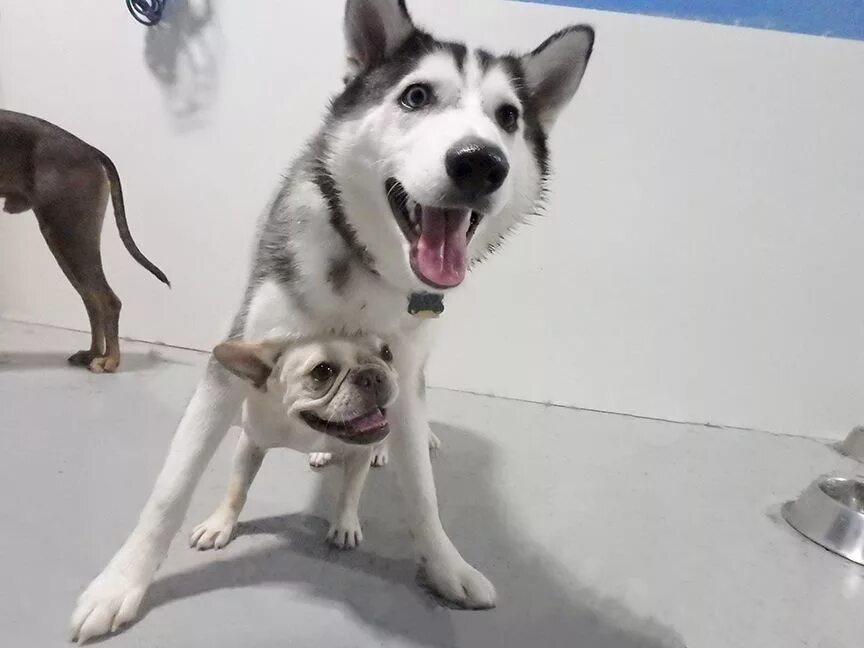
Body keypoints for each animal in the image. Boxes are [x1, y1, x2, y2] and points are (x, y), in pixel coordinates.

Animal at [0, 109, 170, 373]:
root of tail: (90, 149)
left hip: (70, 234)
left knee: (108, 301)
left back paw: (110, 360)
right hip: (65, 240)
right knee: (92, 300)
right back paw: (93, 353)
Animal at [190, 334, 398, 552]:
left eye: (387, 353)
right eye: (322, 371)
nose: (372, 374)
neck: (304, 424)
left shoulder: (360, 453)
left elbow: (350, 493)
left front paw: (345, 526)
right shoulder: (251, 443)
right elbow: (237, 489)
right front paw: (219, 524)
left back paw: (379, 450)